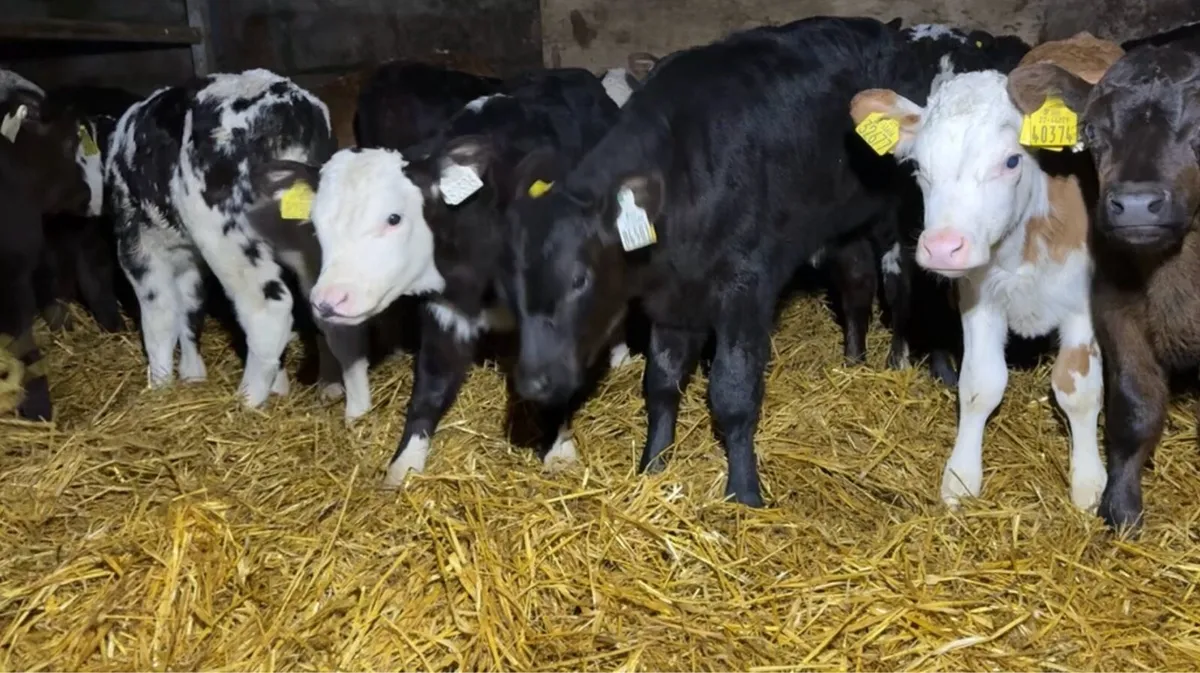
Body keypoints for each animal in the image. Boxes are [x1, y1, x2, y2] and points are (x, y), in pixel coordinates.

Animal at [105, 69, 347, 411]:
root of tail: (291, 108)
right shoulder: (187, 257)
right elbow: (189, 309)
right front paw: (192, 375)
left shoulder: (137, 245)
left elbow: (159, 318)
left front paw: (159, 387)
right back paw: (329, 387)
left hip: (227, 238)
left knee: (268, 309)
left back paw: (246, 401)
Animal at [269, 67, 622, 486]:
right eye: (317, 223)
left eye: (393, 217)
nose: (328, 300)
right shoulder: (445, 311)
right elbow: (430, 388)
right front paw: (404, 463)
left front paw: (559, 449)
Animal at [501, 16, 977, 507]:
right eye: (507, 285)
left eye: (579, 279)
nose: (532, 384)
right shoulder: (672, 299)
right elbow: (661, 383)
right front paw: (653, 465)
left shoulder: (746, 288)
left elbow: (733, 392)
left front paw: (744, 491)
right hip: (842, 224)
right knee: (857, 284)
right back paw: (854, 359)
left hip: (904, 216)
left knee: (910, 287)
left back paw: (935, 367)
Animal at [850, 32, 1126, 511]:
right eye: (918, 166)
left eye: (1012, 161)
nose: (943, 246)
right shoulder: (978, 297)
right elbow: (979, 383)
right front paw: (961, 477)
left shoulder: (1083, 305)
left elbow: (1078, 390)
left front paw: (1089, 482)